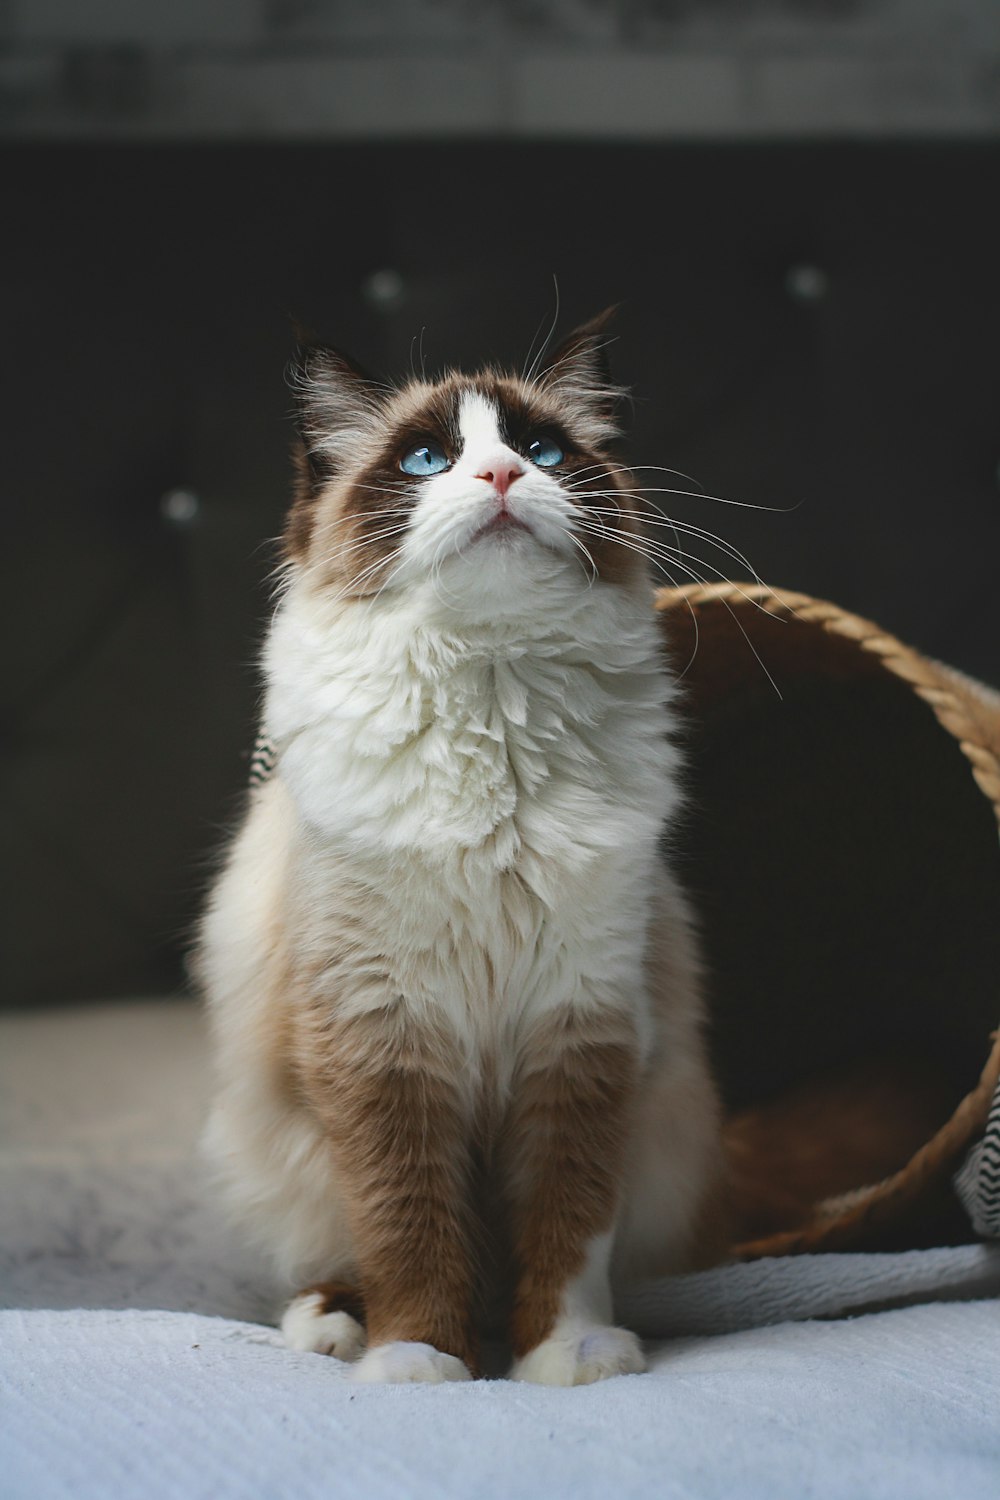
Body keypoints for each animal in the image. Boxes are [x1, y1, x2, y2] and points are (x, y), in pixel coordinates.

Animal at [194, 310, 728, 1386]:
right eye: (428, 460)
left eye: (542, 451)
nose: (498, 476)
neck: (493, 699)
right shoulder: (381, 1038)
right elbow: (407, 1224)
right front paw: (420, 1362)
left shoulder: (580, 1032)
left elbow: (567, 1229)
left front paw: (565, 1354)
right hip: (278, 1155)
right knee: (340, 1257)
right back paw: (338, 1329)